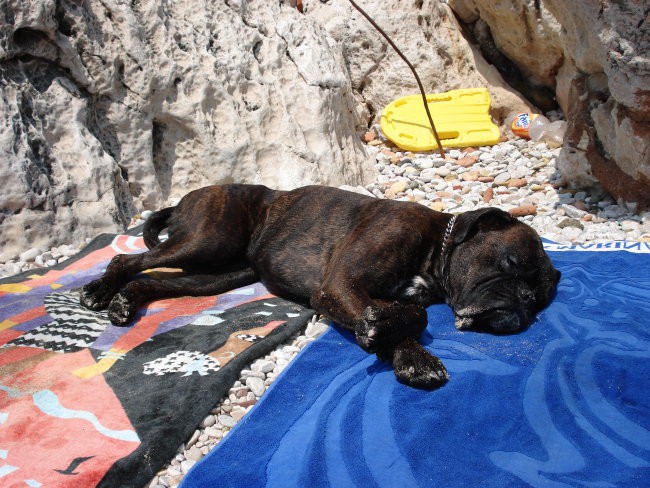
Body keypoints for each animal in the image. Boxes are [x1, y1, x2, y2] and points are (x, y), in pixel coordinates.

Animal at [79, 186, 556, 388]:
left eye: (537, 302)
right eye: (510, 265)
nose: (520, 307)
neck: (434, 247)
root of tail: (187, 196)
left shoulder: (358, 293)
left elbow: (406, 315)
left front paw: (400, 347)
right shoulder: (340, 286)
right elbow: (414, 317)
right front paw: (402, 345)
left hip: (220, 274)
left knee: (155, 279)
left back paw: (125, 301)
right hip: (208, 238)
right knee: (129, 259)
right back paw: (100, 291)